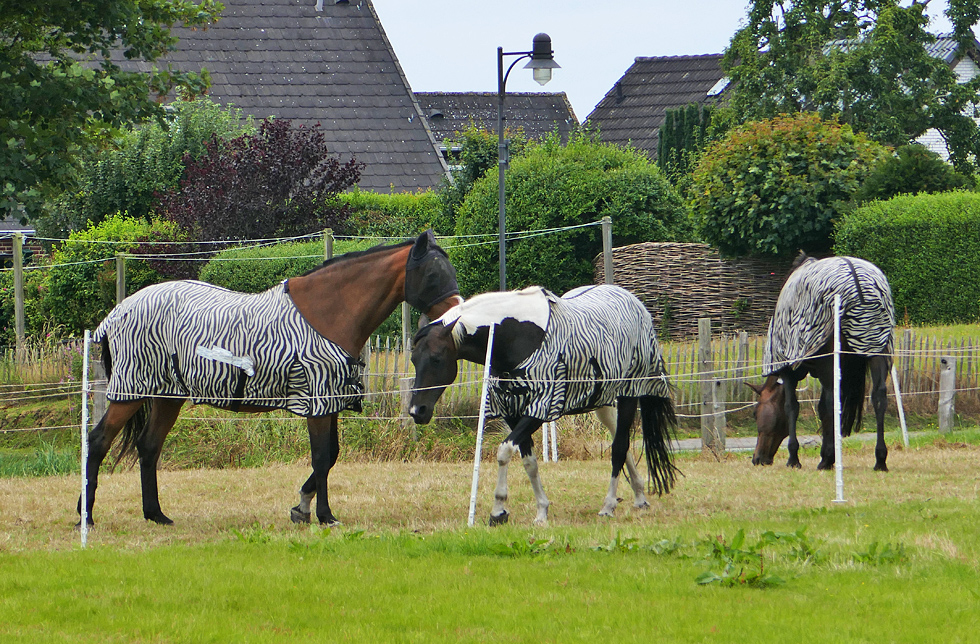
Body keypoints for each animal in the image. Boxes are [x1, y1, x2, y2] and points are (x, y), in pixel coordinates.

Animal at [78, 231, 462, 528]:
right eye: (432, 275)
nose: (455, 316)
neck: (328, 313)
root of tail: (117, 312)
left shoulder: (330, 402)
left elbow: (331, 455)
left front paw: (302, 508)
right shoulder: (317, 400)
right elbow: (322, 456)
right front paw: (323, 515)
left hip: (167, 396)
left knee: (149, 446)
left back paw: (156, 515)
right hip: (130, 393)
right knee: (97, 442)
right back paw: (87, 517)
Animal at [406, 286, 672, 524]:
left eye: (436, 359)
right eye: (413, 359)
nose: (417, 411)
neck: (516, 336)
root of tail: (634, 303)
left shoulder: (540, 408)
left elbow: (504, 451)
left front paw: (498, 510)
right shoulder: (513, 411)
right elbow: (529, 462)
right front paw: (541, 510)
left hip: (629, 394)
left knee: (619, 446)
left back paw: (608, 506)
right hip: (602, 403)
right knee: (621, 440)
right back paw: (639, 496)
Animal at [752, 254, 896, 470]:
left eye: (756, 412)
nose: (758, 459)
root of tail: (859, 285)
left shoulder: (789, 371)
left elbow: (792, 406)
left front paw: (794, 458)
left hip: (831, 361)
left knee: (832, 402)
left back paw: (827, 458)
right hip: (876, 350)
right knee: (878, 397)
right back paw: (880, 459)